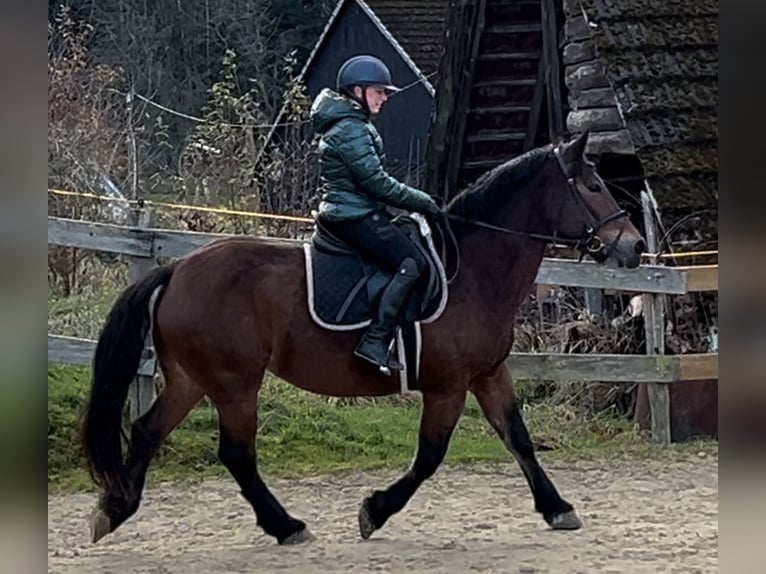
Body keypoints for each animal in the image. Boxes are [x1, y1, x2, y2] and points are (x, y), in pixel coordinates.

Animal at [82, 132, 648, 548]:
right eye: (592, 185)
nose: (635, 246)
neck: (472, 270)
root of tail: (176, 269)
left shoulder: (489, 374)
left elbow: (519, 439)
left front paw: (557, 508)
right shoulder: (447, 386)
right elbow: (430, 456)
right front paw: (374, 511)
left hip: (192, 379)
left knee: (148, 430)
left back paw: (116, 508)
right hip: (235, 384)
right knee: (236, 454)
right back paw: (286, 526)